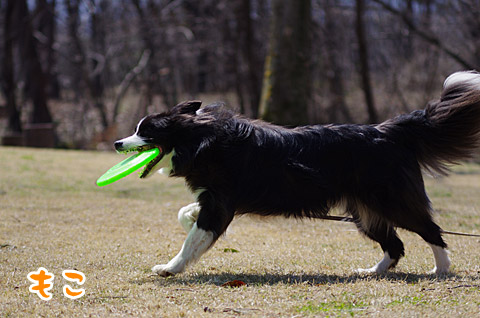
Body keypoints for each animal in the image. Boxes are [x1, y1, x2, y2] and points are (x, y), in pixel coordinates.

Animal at [115, 71, 480, 276]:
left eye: (145, 131)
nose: (118, 142)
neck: (200, 139)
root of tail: (388, 130)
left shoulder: (220, 204)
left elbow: (193, 240)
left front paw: (170, 268)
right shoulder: (216, 198)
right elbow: (186, 214)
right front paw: (187, 221)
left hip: (392, 201)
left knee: (431, 230)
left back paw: (441, 269)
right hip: (364, 211)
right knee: (396, 245)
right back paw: (372, 272)